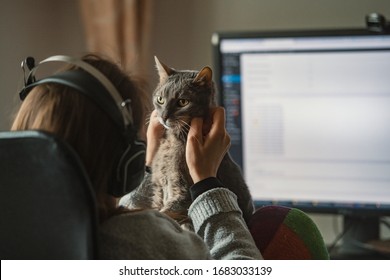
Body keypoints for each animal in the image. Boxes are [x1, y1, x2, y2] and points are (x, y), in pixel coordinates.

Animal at [123, 57, 254, 225]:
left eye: (183, 102)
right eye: (160, 99)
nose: (163, 116)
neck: (172, 140)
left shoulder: (183, 196)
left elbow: (166, 214)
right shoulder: (158, 188)